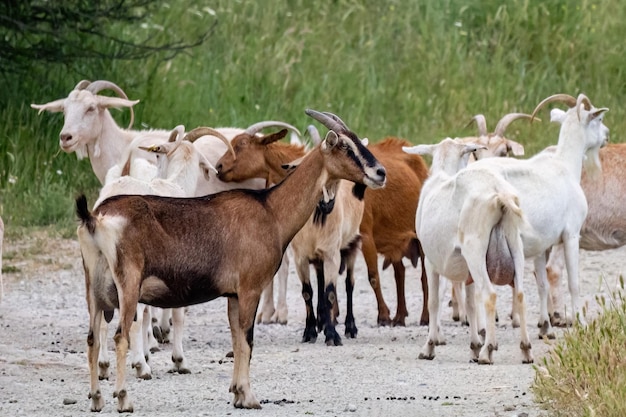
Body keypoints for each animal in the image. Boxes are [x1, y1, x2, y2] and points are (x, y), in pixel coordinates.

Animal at [402, 138, 528, 362]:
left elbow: (433, 301)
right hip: (513, 244)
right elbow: (470, 305)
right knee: (520, 293)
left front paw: (429, 347)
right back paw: (525, 349)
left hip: (475, 249)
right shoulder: (467, 271)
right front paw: (474, 346)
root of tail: (499, 193)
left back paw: (488, 350)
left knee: (490, 295)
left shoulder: (430, 261)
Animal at [466, 92, 608, 336]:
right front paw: (580, 322)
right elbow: (574, 282)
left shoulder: (542, 243)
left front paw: (545, 327)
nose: (607, 135)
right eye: (598, 119)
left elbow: (542, 284)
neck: (565, 165)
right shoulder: (571, 235)